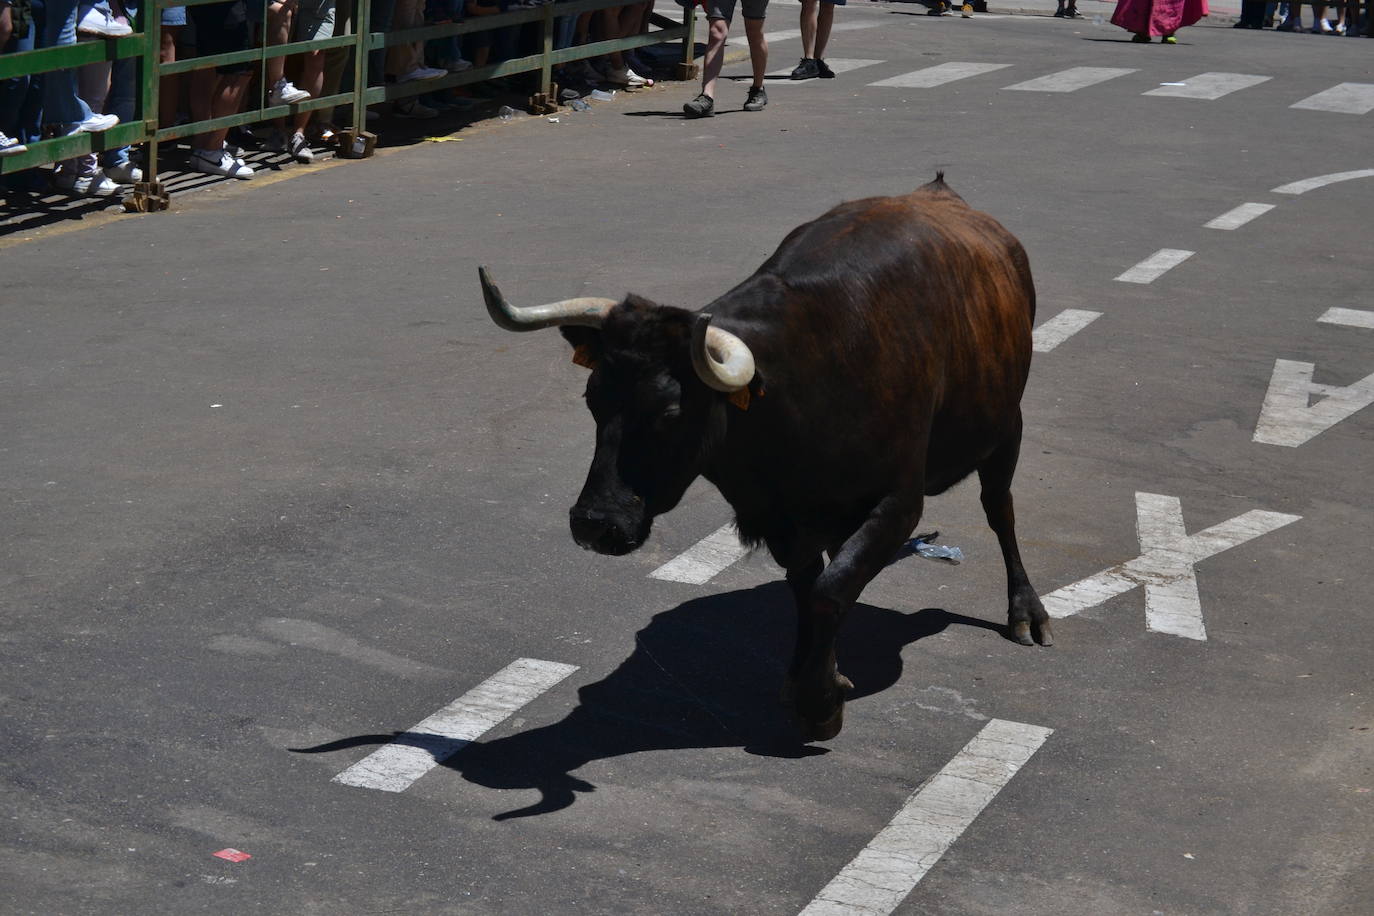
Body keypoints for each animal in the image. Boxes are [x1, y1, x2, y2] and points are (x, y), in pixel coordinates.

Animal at [480, 175, 1049, 741]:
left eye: (669, 411)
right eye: (592, 397)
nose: (595, 524)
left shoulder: (899, 500)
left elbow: (829, 589)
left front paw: (820, 702)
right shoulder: (782, 519)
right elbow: (809, 586)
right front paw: (808, 676)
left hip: (1008, 426)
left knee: (1000, 509)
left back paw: (1027, 612)